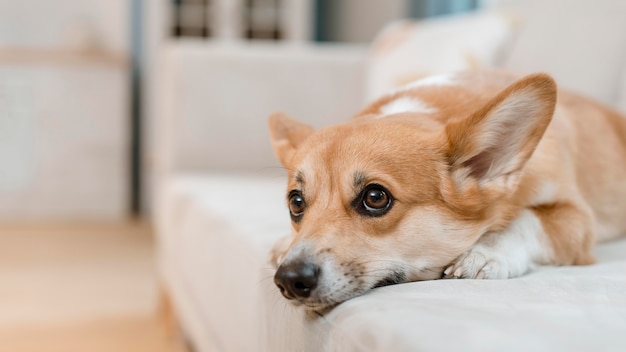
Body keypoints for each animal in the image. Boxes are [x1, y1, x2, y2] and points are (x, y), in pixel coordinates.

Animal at [264, 69, 624, 310]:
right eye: (296, 203)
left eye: (376, 197)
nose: (289, 280)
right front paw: (283, 243)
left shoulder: (577, 221)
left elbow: (526, 220)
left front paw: (487, 252)